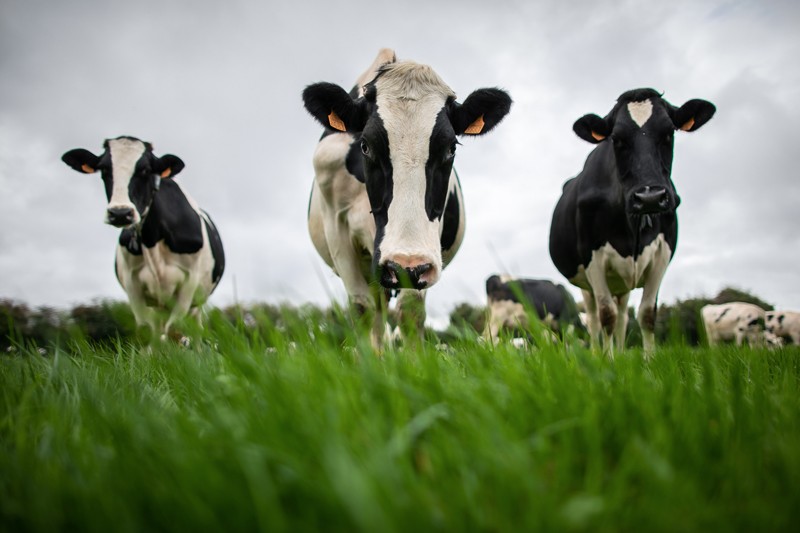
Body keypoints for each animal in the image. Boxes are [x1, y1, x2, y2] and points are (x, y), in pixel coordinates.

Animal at [61, 137, 225, 340]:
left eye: (145, 170)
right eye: (104, 169)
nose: (120, 213)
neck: (152, 238)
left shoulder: (189, 282)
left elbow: (176, 330)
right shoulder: (133, 283)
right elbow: (145, 330)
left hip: (195, 301)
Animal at [300, 47, 512, 348]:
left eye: (451, 148)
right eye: (365, 145)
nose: (405, 264)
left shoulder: (426, 250)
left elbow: (410, 311)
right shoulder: (337, 229)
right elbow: (362, 308)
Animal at [548, 87, 716, 356]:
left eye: (669, 133)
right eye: (617, 139)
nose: (650, 197)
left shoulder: (662, 253)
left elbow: (646, 314)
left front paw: (648, 361)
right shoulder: (592, 258)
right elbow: (606, 315)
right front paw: (606, 361)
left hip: (622, 283)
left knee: (623, 317)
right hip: (587, 283)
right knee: (595, 318)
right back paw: (598, 353)